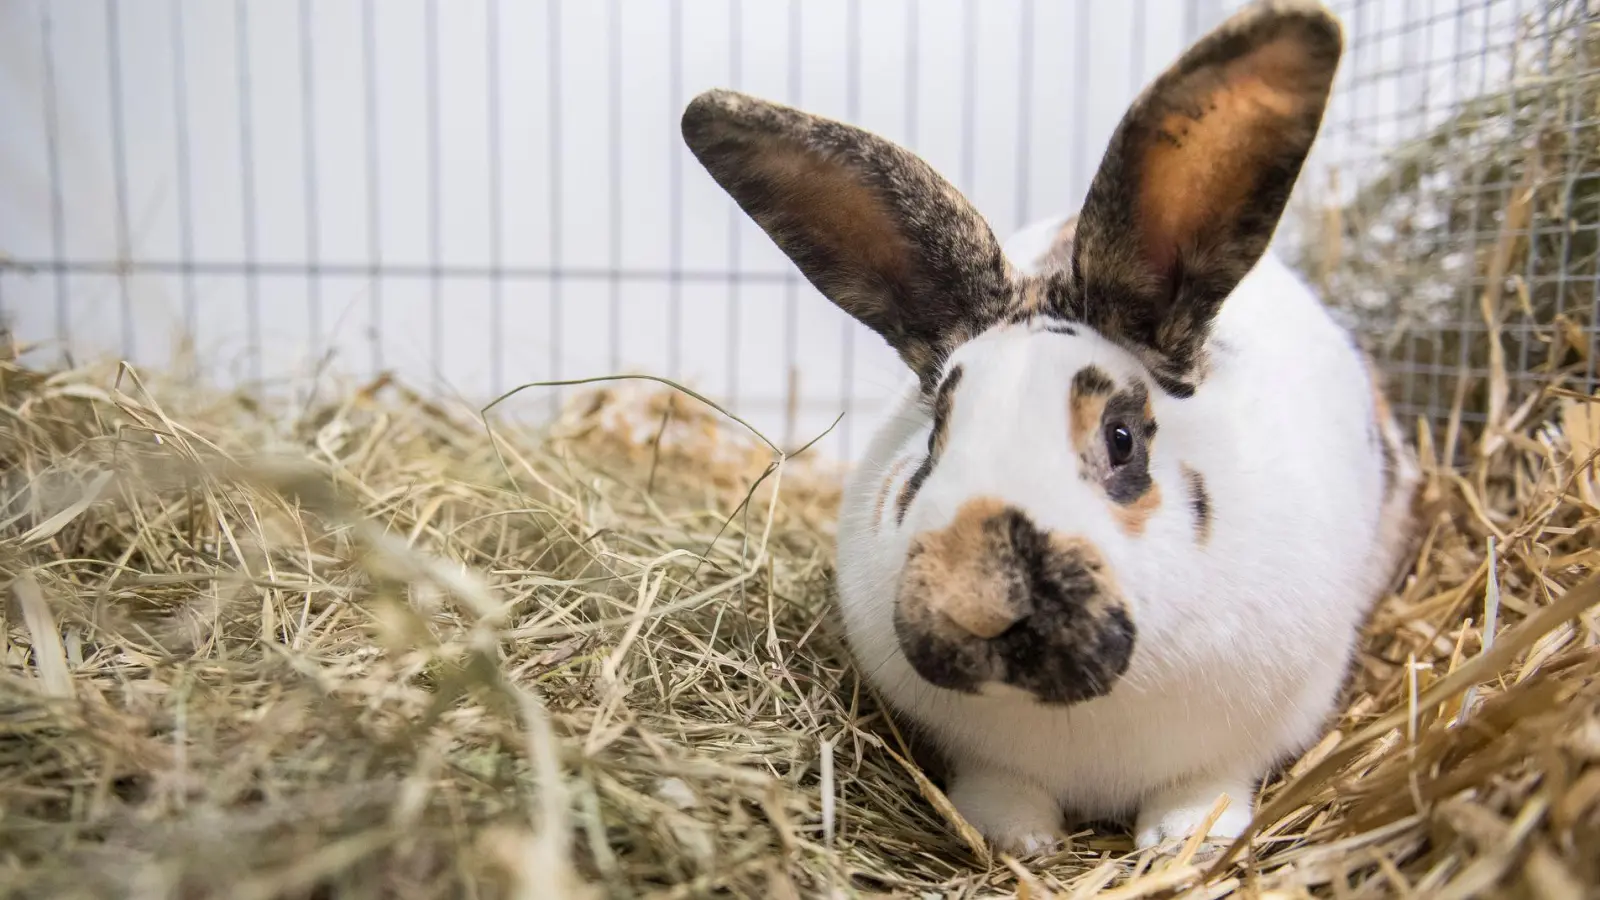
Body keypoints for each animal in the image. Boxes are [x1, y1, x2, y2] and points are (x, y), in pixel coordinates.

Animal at [681, 0, 1420, 856]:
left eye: (1123, 438)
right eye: (933, 436)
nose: (974, 603)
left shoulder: (1247, 733)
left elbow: (1205, 785)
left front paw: (1181, 839)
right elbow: (1004, 790)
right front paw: (1017, 837)